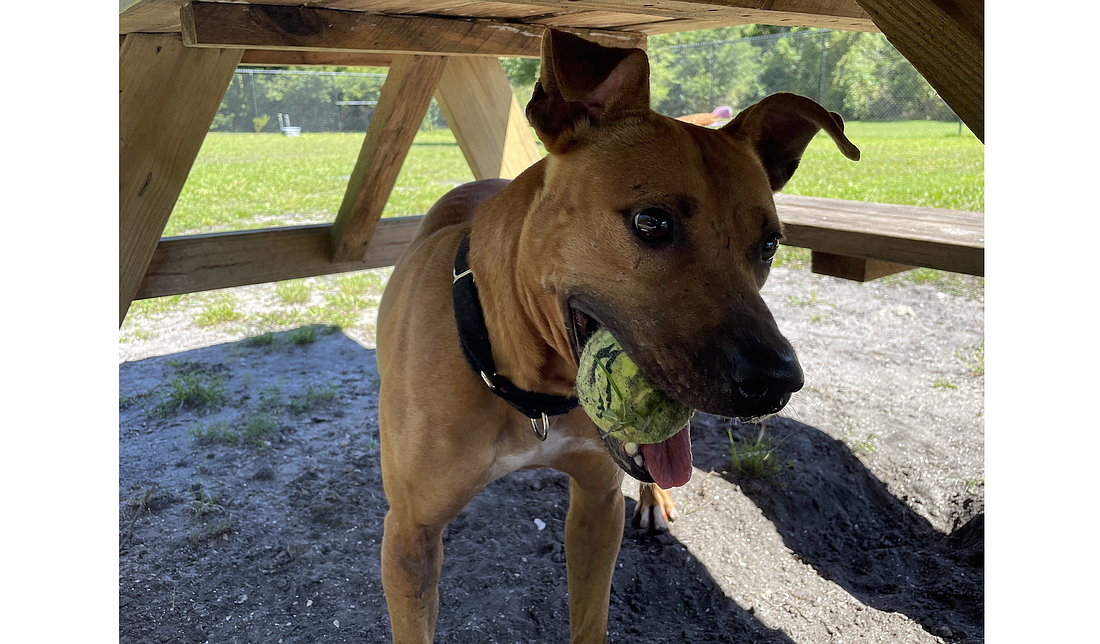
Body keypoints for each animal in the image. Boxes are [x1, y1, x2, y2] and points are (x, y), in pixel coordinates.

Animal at [378, 27, 858, 638]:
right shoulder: (409, 540)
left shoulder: (597, 502)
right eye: (651, 221)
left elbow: (591, 617)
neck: (528, 387)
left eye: (770, 244)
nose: (779, 381)